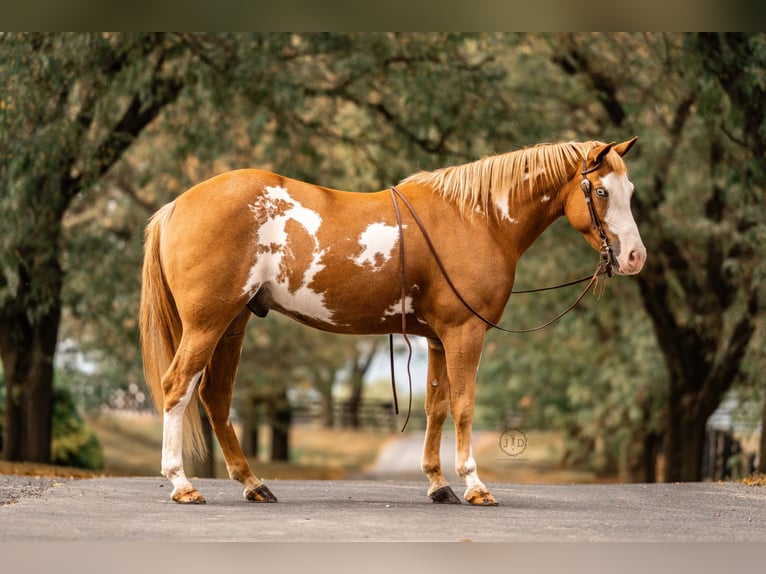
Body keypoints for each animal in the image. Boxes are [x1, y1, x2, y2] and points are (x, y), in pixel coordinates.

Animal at [139, 137, 645, 506]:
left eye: (631, 192)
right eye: (601, 191)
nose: (635, 257)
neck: (476, 219)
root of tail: (177, 206)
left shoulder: (439, 338)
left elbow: (436, 406)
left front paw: (438, 484)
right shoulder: (465, 333)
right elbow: (464, 406)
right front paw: (474, 485)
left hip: (234, 323)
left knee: (215, 398)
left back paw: (252, 483)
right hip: (208, 323)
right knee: (178, 387)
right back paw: (182, 484)